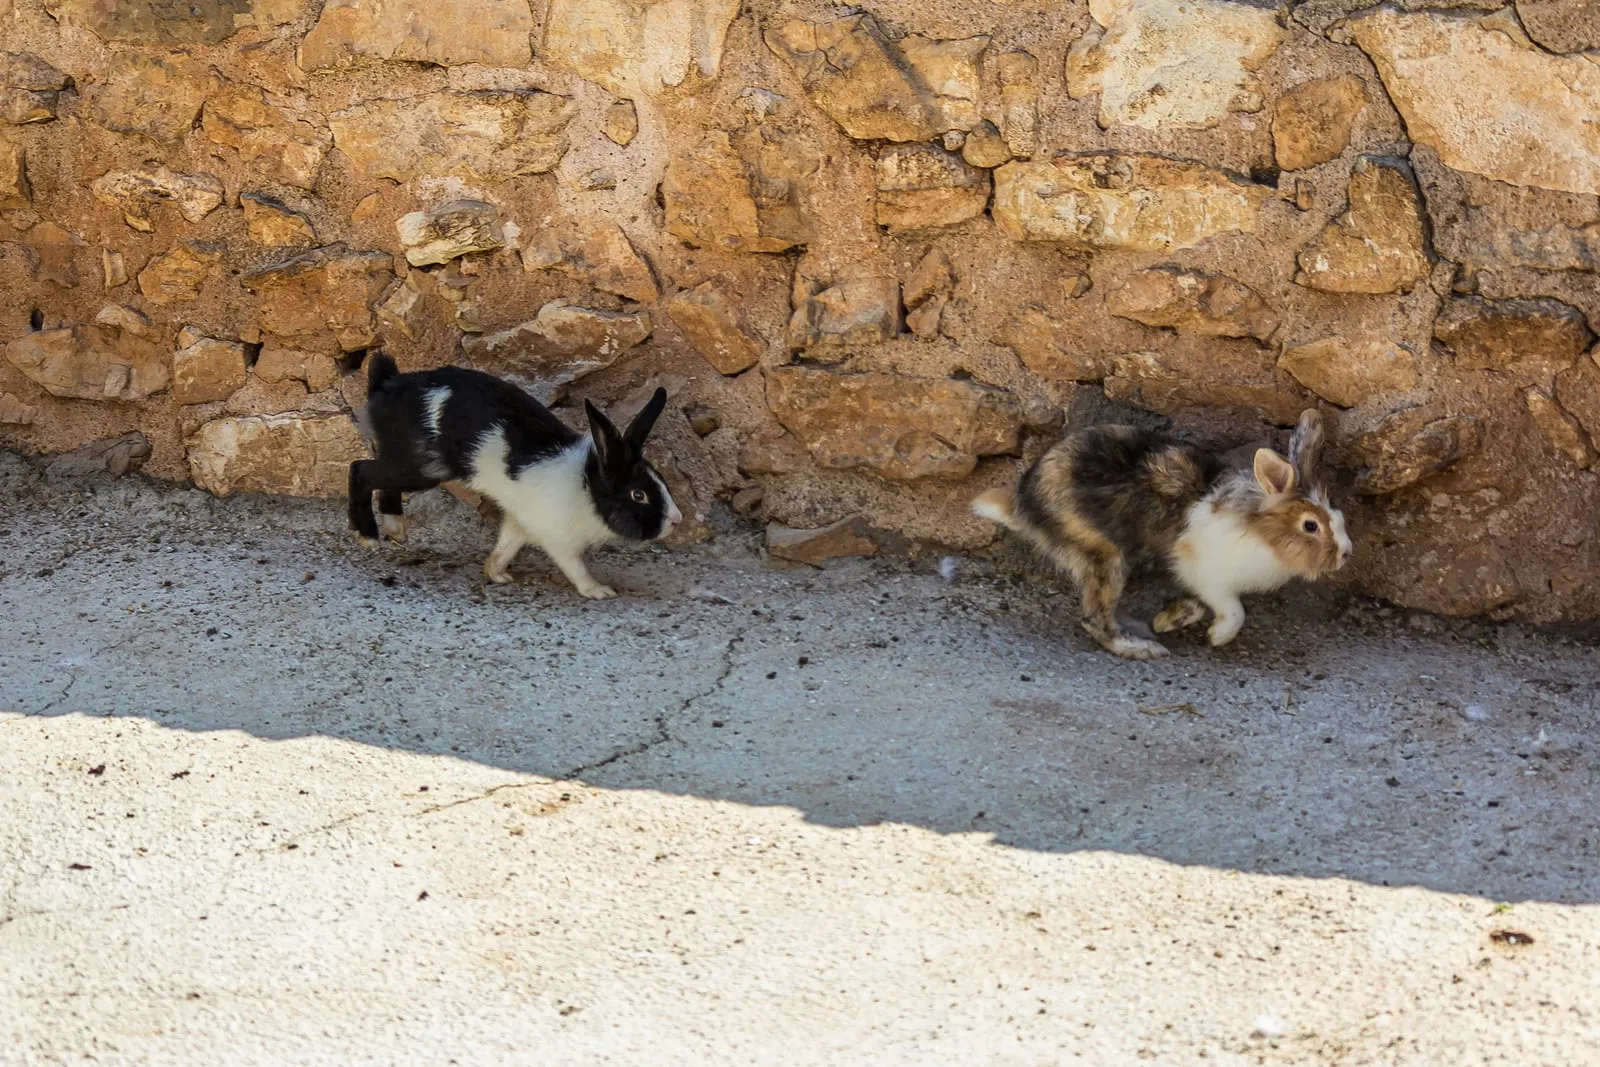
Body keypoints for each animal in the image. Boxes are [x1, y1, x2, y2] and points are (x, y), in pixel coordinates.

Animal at [350, 353, 681, 599]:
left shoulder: (520, 522)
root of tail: (385, 387)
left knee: (381, 481)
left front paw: (496, 573)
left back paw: (394, 527)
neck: (585, 488)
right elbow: (575, 566)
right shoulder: (556, 538)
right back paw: (369, 537)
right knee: (360, 470)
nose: (676, 521)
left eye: (661, 480)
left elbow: (505, 546)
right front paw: (598, 591)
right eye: (638, 494)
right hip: (419, 468)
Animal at [971, 409, 1351, 659]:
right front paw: (1216, 637)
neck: (1259, 530)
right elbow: (1234, 611)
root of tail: (1022, 502)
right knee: (1094, 618)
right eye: (1310, 526)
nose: (1346, 555)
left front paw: (1174, 618)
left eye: (1339, 516)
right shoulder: (1207, 575)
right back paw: (1142, 649)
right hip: (1104, 556)